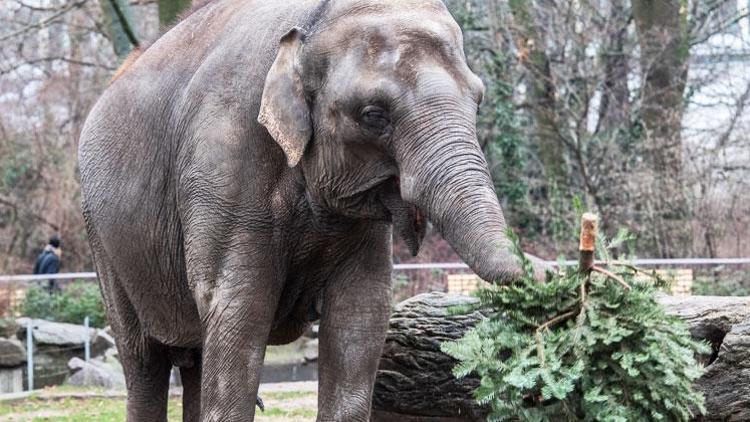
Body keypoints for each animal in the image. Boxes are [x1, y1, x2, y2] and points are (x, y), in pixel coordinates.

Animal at [78, 0, 548, 420]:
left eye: (479, 100)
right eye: (373, 114)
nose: (547, 270)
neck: (311, 22)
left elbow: (360, 314)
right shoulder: (222, 163)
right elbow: (239, 309)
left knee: (192, 357)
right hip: (101, 239)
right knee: (143, 361)